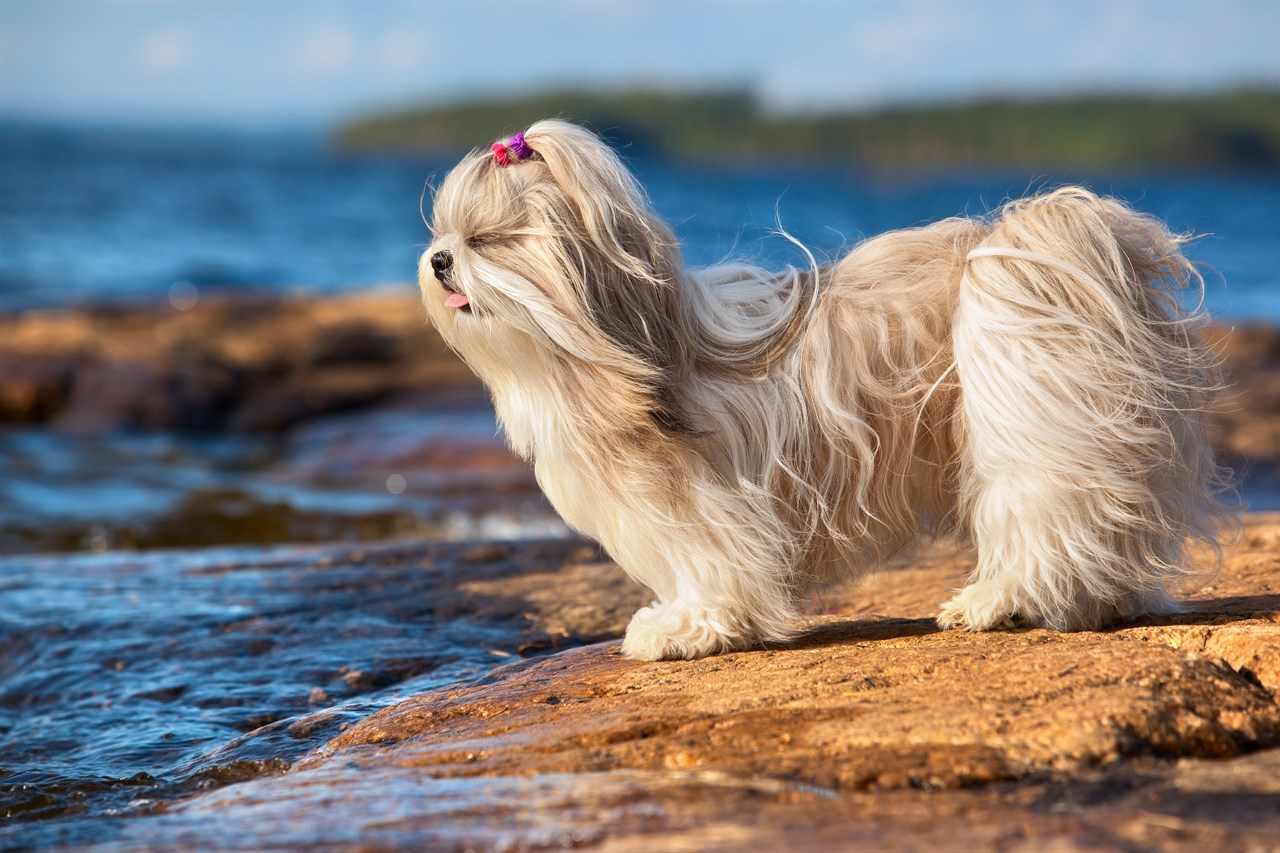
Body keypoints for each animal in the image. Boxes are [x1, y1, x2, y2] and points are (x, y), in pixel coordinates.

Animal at [417, 117, 1228, 655]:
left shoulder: (708, 499)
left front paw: (689, 626)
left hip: (1027, 395)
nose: (437, 261)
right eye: (443, 232)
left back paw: (1001, 601)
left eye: (485, 240)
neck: (614, 350)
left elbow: (714, 565)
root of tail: (1042, 235)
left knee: (1040, 511)